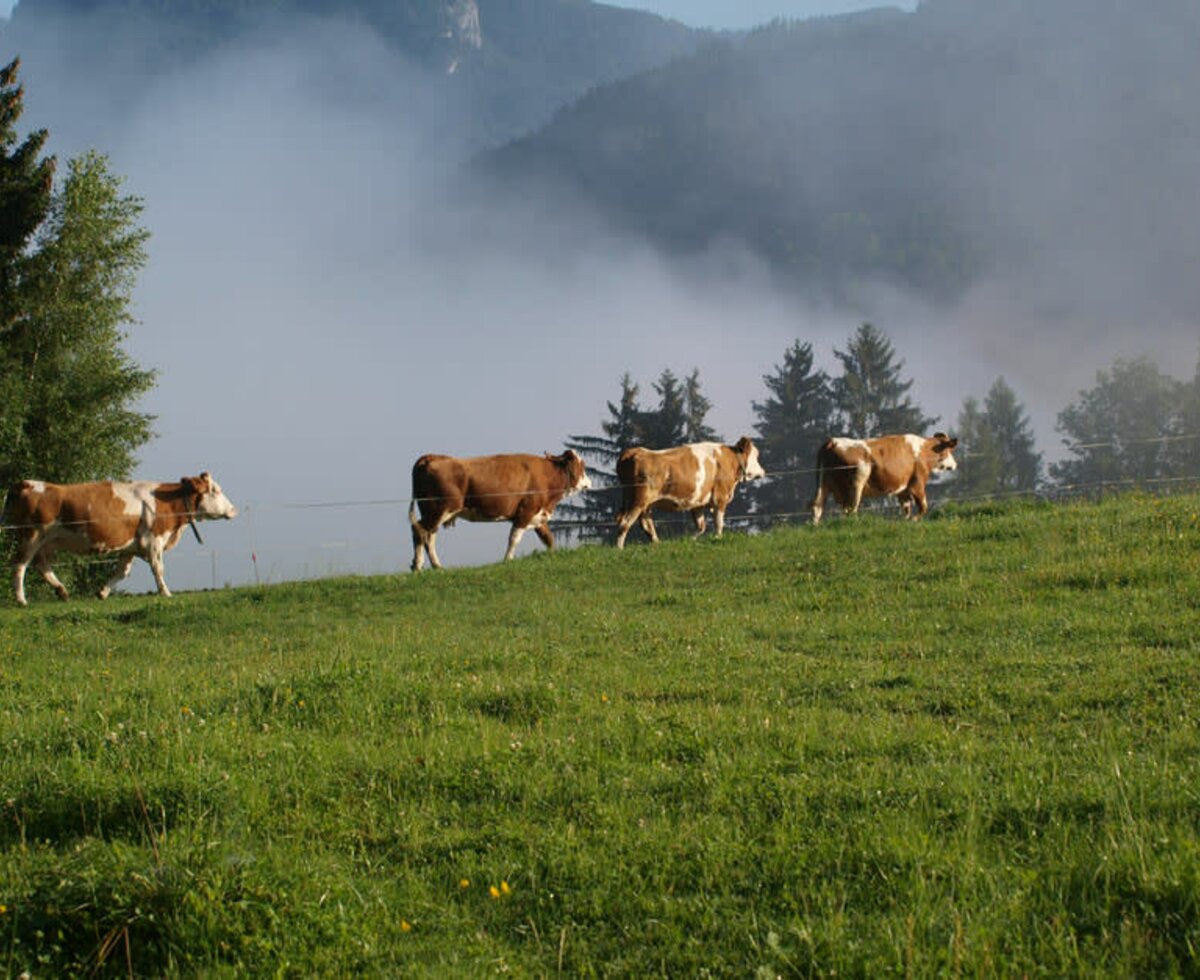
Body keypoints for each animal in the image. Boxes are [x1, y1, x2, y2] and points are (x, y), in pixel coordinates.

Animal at [5, 470, 240, 599]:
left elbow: (122, 572)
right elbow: (158, 568)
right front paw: (165, 592)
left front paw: (102, 592)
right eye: (216, 490)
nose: (233, 509)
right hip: (31, 536)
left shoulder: (130, 546)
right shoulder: (153, 540)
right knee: (20, 565)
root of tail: (26, 482)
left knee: (41, 565)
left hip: (46, 542)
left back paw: (62, 591)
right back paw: (21, 600)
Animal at [408, 448, 590, 568]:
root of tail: (431, 457)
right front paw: (507, 560)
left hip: (433, 511)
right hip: (440, 508)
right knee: (422, 531)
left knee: (426, 533)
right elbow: (514, 538)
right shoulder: (525, 512)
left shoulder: (538, 515)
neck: (546, 475)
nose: (588, 483)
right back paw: (426, 565)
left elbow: (548, 538)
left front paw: (553, 555)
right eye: (582, 465)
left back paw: (428, 566)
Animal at [614, 436, 763, 546]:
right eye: (756, 456)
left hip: (642, 504)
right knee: (625, 523)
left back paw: (657, 543)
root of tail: (634, 451)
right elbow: (719, 522)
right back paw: (619, 549)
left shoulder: (698, 503)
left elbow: (701, 526)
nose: (763, 471)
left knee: (645, 524)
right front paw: (717, 538)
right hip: (638, 501)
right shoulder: (720, 497)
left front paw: (691, 540)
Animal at [811, 431, 960, 522]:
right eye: (949, 450)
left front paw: (905, 521)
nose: (955, 464)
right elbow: (923, 506)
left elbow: (906, 508)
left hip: (823, 483)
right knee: (851, 509)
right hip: (856, 483)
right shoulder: (917, 484)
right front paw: (913, 520)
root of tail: (834, 441)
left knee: (818, 506)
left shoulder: (903, 489)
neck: (923, 450)